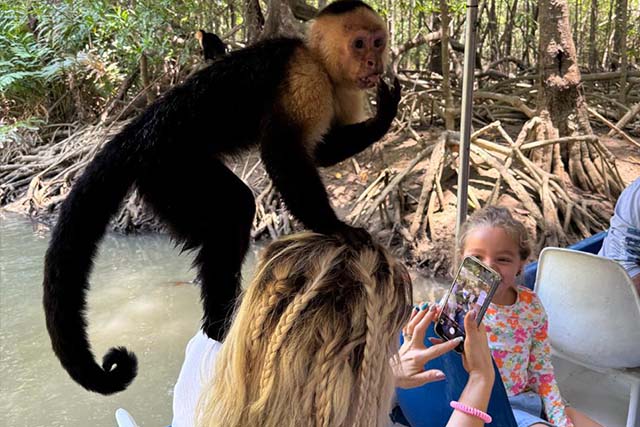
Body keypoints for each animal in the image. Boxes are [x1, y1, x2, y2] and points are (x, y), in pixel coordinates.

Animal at [43, 0, 400, 395]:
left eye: (378, 42)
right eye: (358, 44)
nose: (374, 61)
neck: (322, 64)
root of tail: (138, 131)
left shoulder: (346, 91)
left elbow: (318, 152)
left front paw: (384, 115)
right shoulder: (305, 78)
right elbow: (283, 153)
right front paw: (332, 226)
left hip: (161, 184)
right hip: (169, 168)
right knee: (234, 209)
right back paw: (220, 323)